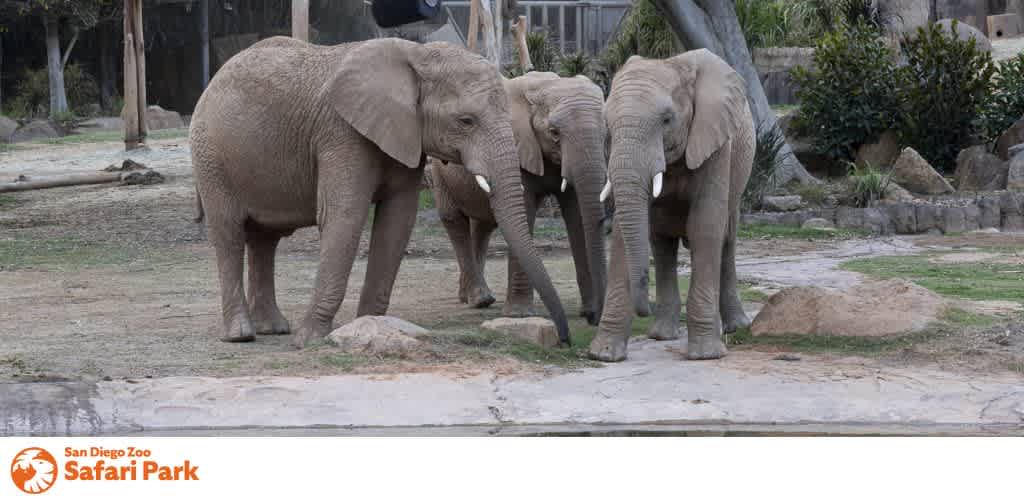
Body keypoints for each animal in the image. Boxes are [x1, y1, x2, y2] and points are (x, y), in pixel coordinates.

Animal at [190, 37, 570, 347]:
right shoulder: (341, 133)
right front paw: (309, 340)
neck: (416, 55)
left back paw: (273, 329)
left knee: (264, 239)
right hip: (211, 157)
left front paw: (369, 326)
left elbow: (397, 220)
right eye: (466, 121)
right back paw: (242, 335)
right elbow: (345, 215)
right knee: (229, 233)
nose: (565, 340)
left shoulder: (405, 136)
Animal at [430, 72, 608, 325]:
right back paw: (479, 300)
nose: (594, 318)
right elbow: (524, 211)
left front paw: (589, 311)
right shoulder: (517, 149)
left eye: (605, 133)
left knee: (482, 226)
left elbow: (577, 216)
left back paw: (473, 298)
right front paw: (519, 315)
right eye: (554, 132)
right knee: (454, 220)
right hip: (439, 169)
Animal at [588, 49, 754, 362]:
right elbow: (622, 237)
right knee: (662, 243)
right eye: (606, 125)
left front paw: (705, 355)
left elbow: (705, 226)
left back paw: (735, 328)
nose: (643, 309)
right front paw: (603, 354)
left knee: (726, 239)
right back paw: (662, 334)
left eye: (666, 119)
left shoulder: (715, 141)